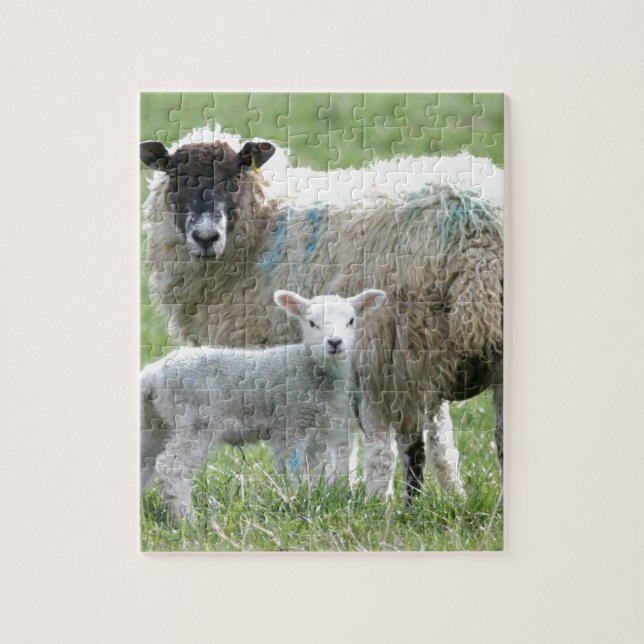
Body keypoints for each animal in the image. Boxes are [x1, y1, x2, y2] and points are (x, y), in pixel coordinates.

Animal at [141, 287, 387, 520]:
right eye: (312, 323)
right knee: (171, 467)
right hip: (195, 419)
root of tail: (153, 373)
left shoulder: (316, 430)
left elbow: (314, 469)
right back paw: (186, 519)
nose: (335, 342)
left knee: (145, 460)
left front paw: (313, 497)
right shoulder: (290, 422)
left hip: (156, 423)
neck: (312, 368)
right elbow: (290, 467)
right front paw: (294, 499)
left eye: (351, 320)